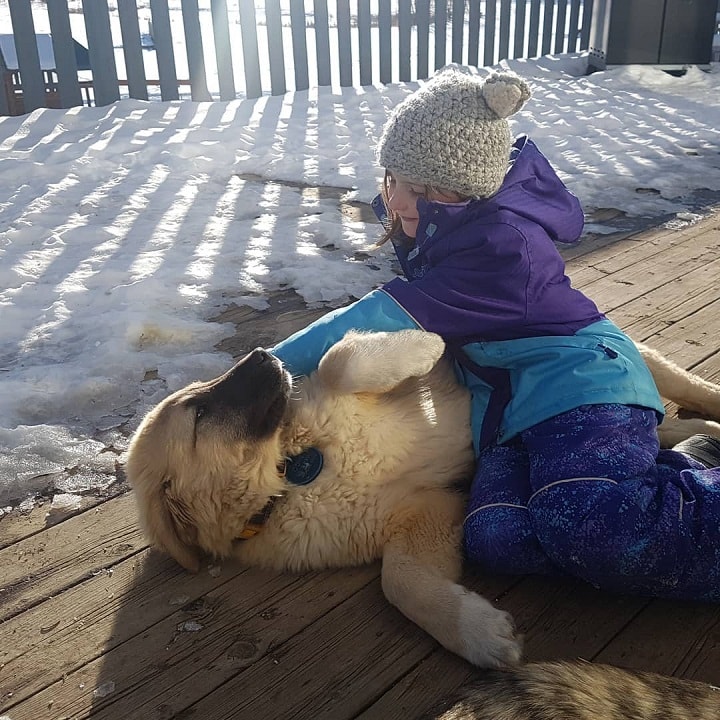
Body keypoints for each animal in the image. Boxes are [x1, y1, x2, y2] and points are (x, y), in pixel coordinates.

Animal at [126, 330, 720, 672]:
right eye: (200, 413)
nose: (262, 353)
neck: (292, 476)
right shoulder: (423, 511)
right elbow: (400, 582)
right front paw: (475, 632)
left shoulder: (343, 391)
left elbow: (342, 357)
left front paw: (426, 343)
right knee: (669, 430)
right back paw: (700, 437)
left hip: (632, 361)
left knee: (684, 385)